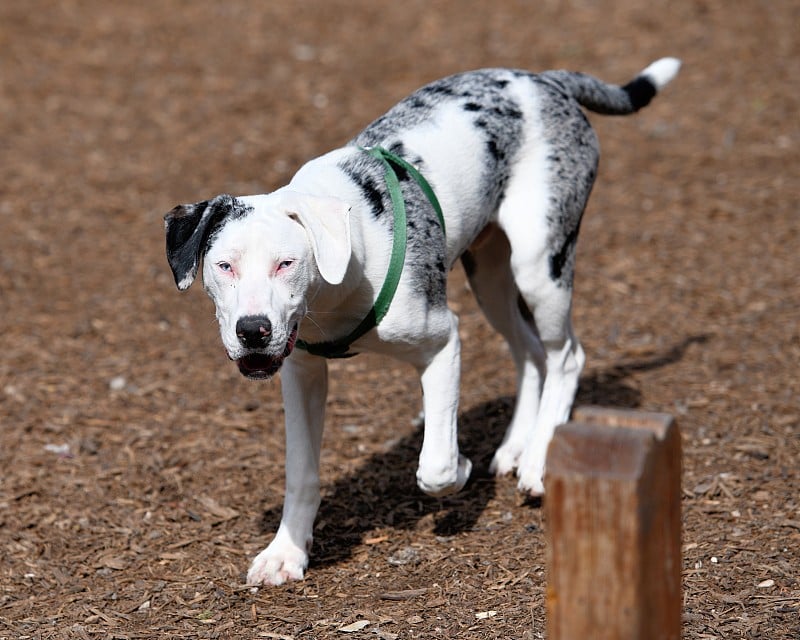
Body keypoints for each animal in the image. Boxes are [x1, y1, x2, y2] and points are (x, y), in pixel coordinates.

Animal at [164, 57, 680, 588]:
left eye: (286, 263)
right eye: (224, 265)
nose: (253, 330)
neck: (346, 254)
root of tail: (544, 79)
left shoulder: (442, 344)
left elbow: (435, 466)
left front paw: (461, 466)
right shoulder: (302, 371)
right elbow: (302, 472)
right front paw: (285, 552)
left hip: (541, 266)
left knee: (566, 356)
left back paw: (538, 461)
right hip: (491, 278)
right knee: (530, 352)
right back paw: (517, 445)